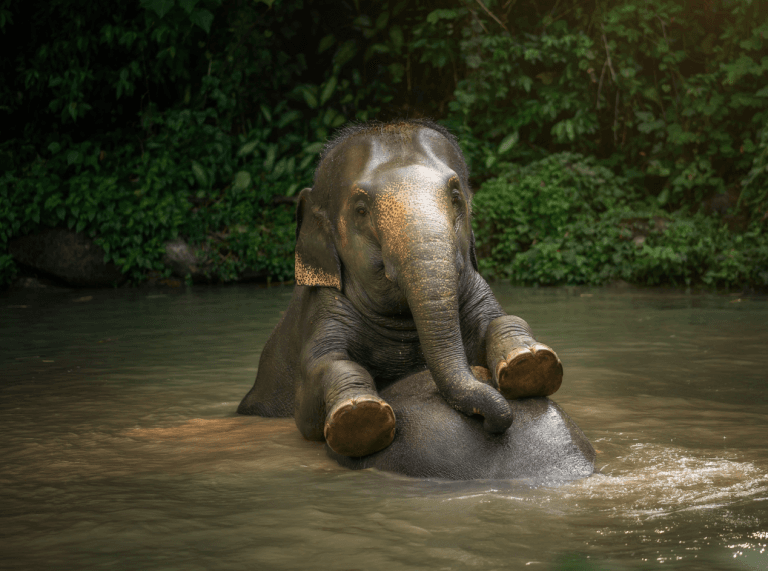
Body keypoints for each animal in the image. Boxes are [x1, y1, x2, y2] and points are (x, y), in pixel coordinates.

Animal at [238, 119, 583, 475]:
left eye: (456, 197)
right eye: (360, 210)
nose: (493, 421)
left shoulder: (476, 289)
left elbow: (503, 319)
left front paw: (530, 362)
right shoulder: (325, 308)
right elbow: (316, 379)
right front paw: (359, 415)